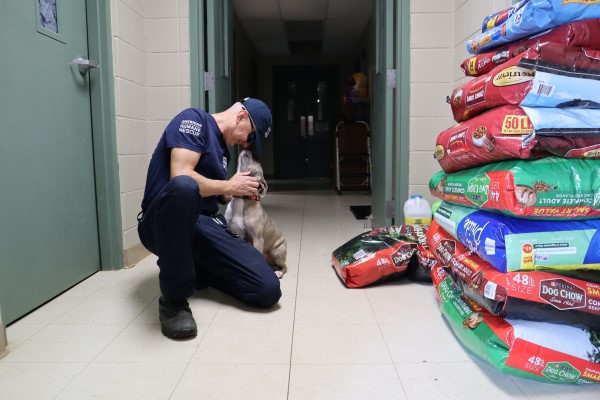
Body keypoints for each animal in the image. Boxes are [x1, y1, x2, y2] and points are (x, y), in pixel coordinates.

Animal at [227, 150, 288, 278]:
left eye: (258, 164)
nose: (250, 151)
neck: (243, 198)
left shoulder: (257, 239)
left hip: (277, 251)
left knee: (284, 266)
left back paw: (279, 272)